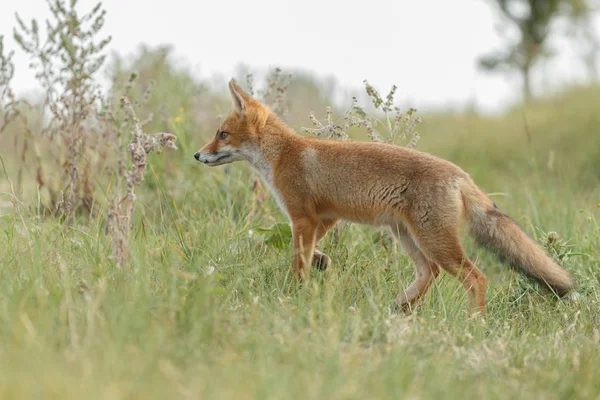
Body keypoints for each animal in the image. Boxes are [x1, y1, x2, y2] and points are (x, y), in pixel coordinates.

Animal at [196, 79, 576, 314]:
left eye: (222, 134)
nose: (198, 156)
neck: (283, 155)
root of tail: (461, 174)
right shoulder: (324, 217)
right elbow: (311, 251)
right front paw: (321, 263)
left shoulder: (301, 217)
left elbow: (297, 261)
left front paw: (293, 294)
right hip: (408, 236)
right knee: (430, 273)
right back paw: (400, 307)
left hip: (435, 241)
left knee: (475, 276)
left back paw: (474, 324)